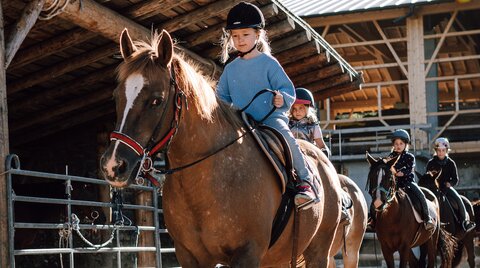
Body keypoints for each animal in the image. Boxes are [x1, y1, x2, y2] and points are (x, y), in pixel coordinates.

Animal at [99, 28, 346, 266]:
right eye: (116, 96)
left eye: (156, 100)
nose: (113, 165)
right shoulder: (189, 256)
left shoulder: (247, 254)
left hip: (318, 252)